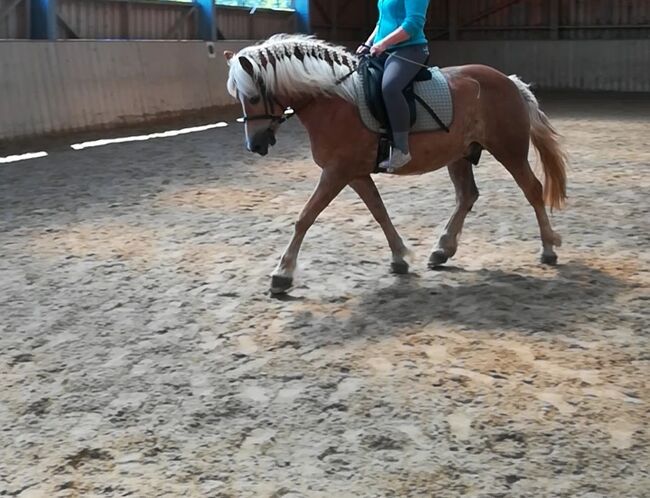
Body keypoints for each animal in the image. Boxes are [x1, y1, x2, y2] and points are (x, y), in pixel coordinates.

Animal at [224, 35, 568, 294]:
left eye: (253, 97)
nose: (255, 146)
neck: (333, 102)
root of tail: (508, 81)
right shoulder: (355, 173)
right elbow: (379, 212)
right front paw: (400, 257)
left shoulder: (336, 172)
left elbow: (305, 217)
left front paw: (282, 274)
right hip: (459, 154)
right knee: (467, 196)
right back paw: (441, 250)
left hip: (508, 149)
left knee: (532, 189)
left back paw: (548, 249)